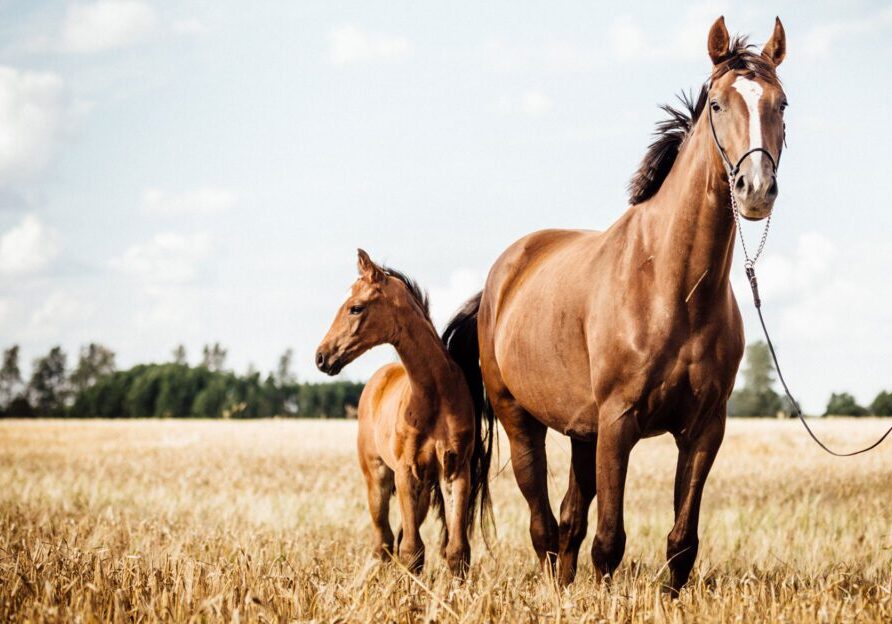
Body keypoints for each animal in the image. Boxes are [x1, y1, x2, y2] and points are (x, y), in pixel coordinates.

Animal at [315, 249, 494, 575]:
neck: (433, 397)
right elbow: (412, 551)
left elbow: (456, 551)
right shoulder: (405, 473)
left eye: (355, 308)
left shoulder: (455, 471)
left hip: (422, 490)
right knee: (383, 541)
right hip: (377, 478)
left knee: (395, 538)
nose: (321, 357)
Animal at [446, 16, 787, 594]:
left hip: (583, 431)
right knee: (543, 523)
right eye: (718, 104)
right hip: (523, 421)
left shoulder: (704, 429)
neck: (672, 287)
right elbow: (609, 541)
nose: (755, 188)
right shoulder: (619, 422)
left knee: (567, 519)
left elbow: (681, 542)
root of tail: (498, 281)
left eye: (781, 104)